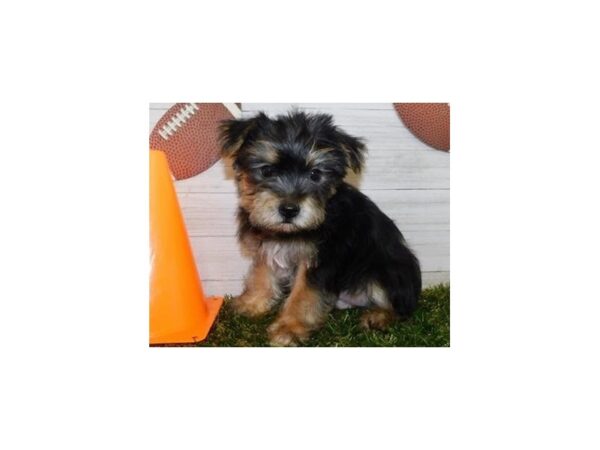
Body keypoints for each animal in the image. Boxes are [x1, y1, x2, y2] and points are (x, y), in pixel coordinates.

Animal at [218, 110, 420, 346]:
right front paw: (252, 303)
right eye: (267, 171)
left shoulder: (321, 260)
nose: (289, 209)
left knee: (401, 306)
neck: (290, 233)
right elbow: (262, 273)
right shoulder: (267, 244)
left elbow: (304, 294)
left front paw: (289, 329)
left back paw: (378, 317)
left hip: (383, 271)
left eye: (315, 174)